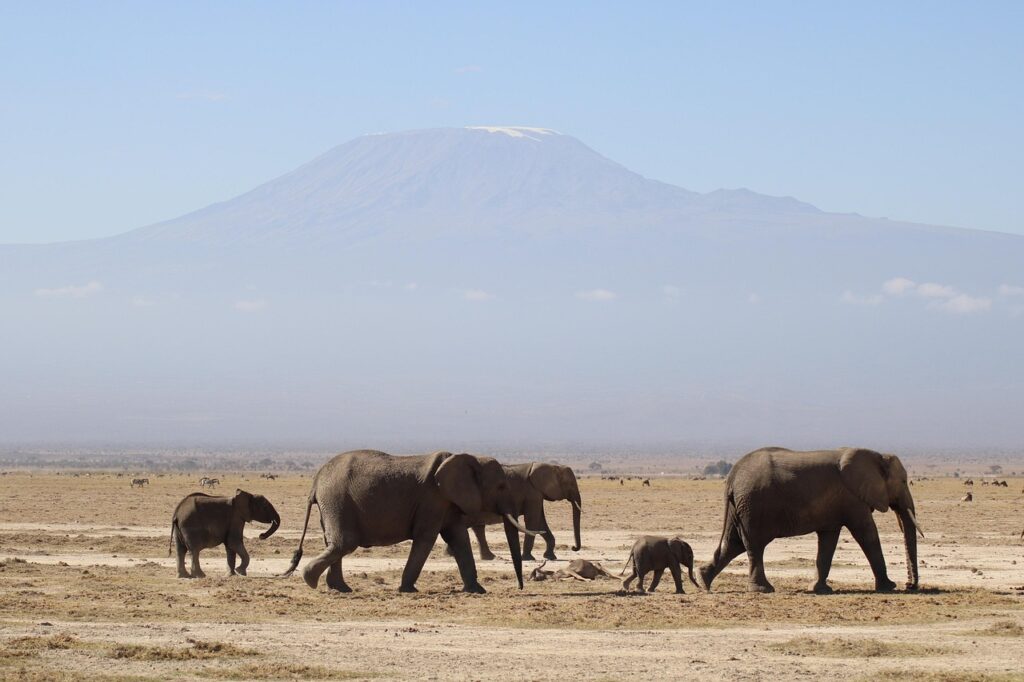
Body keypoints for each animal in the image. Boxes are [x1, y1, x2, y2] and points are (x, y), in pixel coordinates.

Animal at [282, 450, 541, 594]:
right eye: (501, 486)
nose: (520, 587)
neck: (470, 458)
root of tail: (315, 481)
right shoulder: (433, 499)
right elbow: (426, 538)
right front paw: (407, 590)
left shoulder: (447, 502)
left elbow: (459, 538)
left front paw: (478, 591)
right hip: (337, 501)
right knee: (345, 543)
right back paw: (311, 580)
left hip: (333, 504)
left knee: (335, 543)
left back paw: (341, 589)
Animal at [699, 447, 923, 594]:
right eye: (904, 481)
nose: (910, 585)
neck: (877, 456)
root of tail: (732, 477)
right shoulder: (852, 499)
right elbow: (867, 533)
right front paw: (889, 587)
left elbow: (828, 541)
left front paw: (819, 589)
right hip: (753, 506)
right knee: (754, 545)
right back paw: (763, 590)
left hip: (740, 507)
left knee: (734, 544)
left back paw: (703, 581)